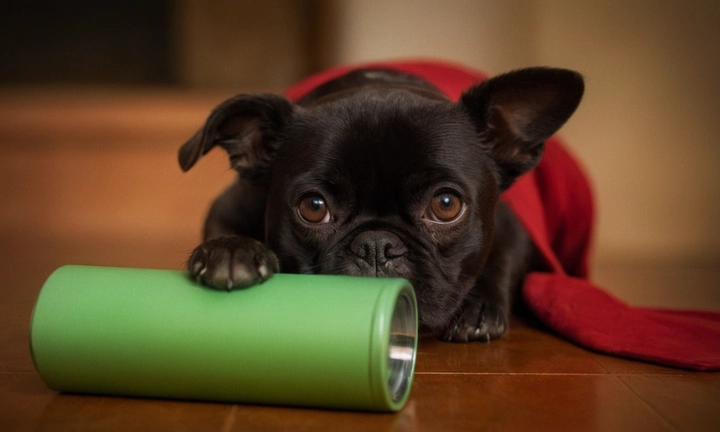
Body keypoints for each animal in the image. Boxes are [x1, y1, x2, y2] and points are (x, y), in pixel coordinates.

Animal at [177, 65, 584, 340]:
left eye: (446, 204)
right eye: (313, 207)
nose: (376, 246)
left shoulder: (515, 227)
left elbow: (502, 259)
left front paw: (477, 306)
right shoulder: (230, 205)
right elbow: (222, 229)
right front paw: (231, 252)